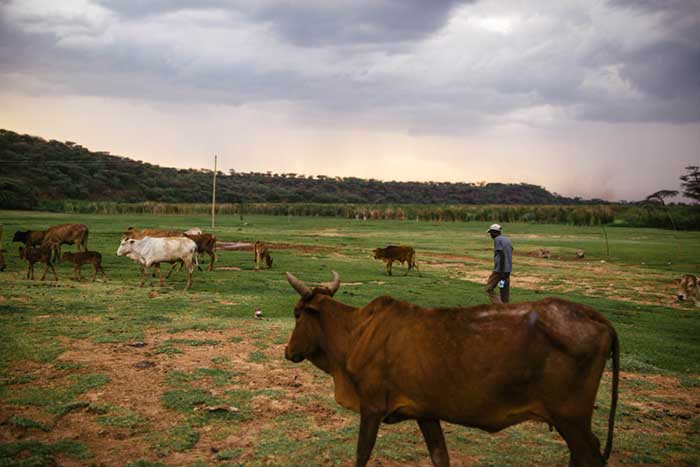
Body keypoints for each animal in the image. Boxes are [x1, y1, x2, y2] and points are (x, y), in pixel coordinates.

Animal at [284, 270, 616, 467]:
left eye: (297, 313)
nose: (288, 351)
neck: (356, 332)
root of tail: (590, 314)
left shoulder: (372, 407)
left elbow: (362, 454)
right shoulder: (426, 412)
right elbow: (439, 455)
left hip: (571, 419)